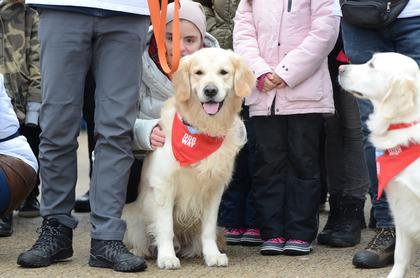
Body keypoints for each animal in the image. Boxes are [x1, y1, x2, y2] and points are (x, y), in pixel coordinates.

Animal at [120, 47, 253, 270]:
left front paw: (212, 255)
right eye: (198, 72)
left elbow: (208, 229)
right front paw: (166, 257)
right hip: (132, 216)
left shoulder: (214, 189)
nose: (210, 90)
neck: (202, 129)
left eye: (223, 72)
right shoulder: (164, 185)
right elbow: (165, 227)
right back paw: (138, 251)